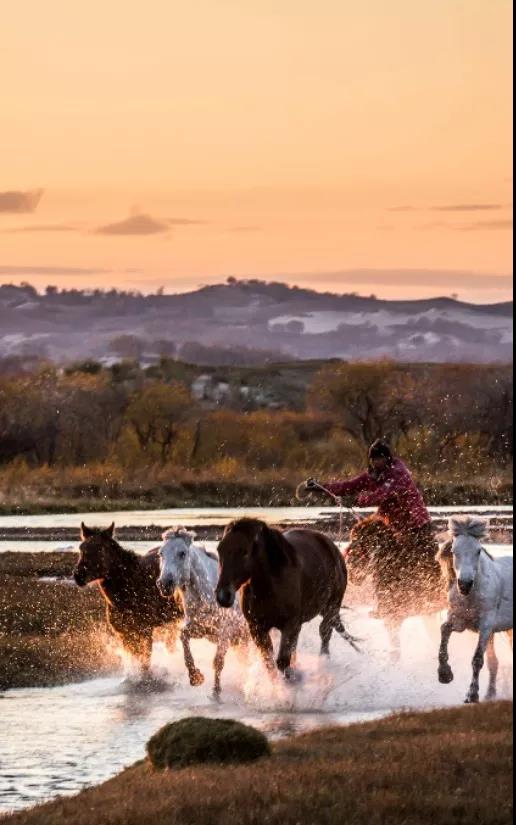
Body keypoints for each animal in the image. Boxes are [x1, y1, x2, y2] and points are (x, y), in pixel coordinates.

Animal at [73, 524, 183, 672]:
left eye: (100, 549)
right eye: (81, 548)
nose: (78, 576)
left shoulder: (145, 631)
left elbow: (144, 663)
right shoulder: (125, 634)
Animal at [157, 528, 248, 696]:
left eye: (182, 553)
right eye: (161, 553)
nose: (164, 584)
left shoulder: (225, 633)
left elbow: (218, 661)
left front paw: (216, 692)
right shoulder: (201, 629)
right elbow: (183, 638)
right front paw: (195, 677)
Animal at [215, 520, 358, 680]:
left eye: (245, 551)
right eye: (219, 550)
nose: (223, 596)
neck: (270, 587)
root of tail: (334, 549)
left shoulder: (291, 624)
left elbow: (282, 661)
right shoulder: (257, 628)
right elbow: (269, 662)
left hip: (332, 606)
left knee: (325, 632)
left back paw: (324, 661)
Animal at [438, 516, 512, 700]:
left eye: (478, 551)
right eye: (454, 551)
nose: (464, 584)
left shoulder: (486, 625)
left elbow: (477, 659)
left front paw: (472, 694)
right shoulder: (459, 620)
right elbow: (444, 629)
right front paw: (444, 674)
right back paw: (490, 694)